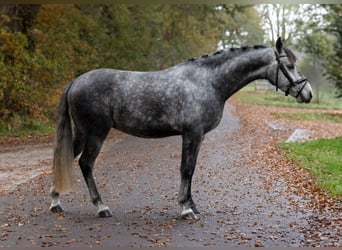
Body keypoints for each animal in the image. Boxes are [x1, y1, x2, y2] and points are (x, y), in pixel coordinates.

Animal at [48, 36, 312, 219]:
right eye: (289, 65)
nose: (307, 94)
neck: (208, 81)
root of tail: (76, 81)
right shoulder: (192, 133)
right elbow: (186, 169)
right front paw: (185, 209)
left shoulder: (198, 136)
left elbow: (192, 170)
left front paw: (192, 205)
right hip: (96, 134)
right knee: (86, 164)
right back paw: (101, 207)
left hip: (82, 134)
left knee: (65, 157)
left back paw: (55, 202)